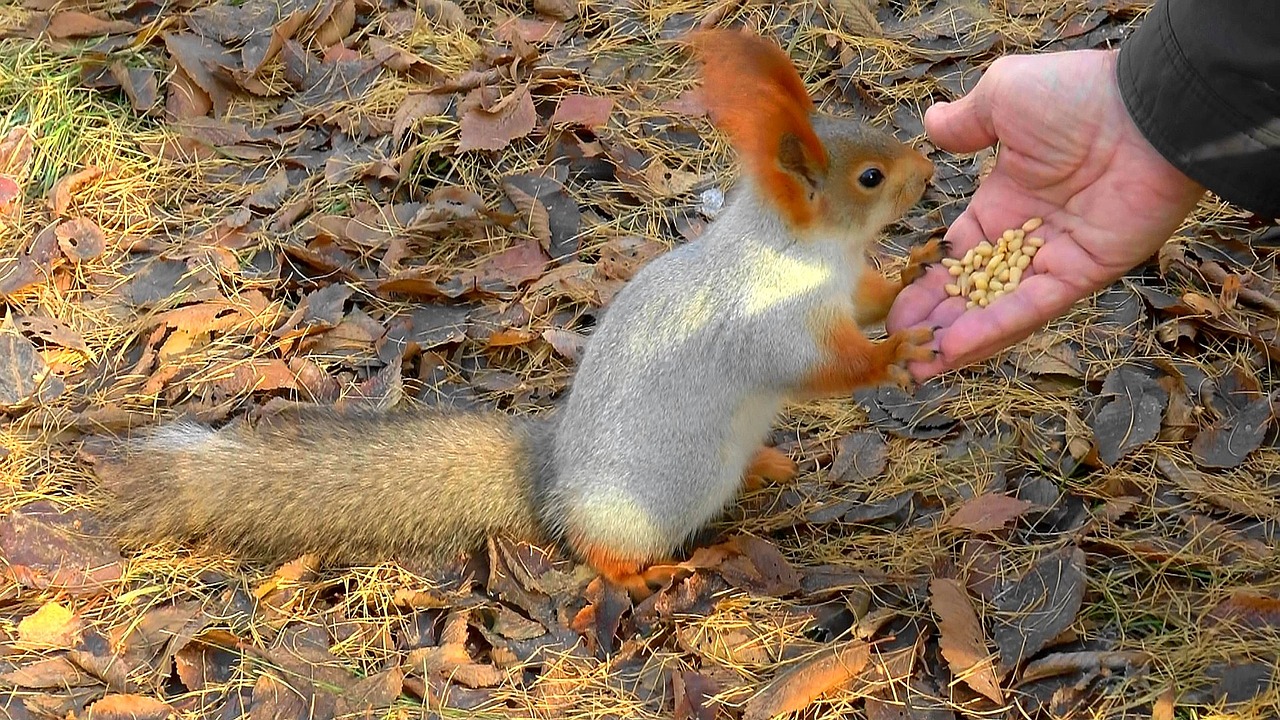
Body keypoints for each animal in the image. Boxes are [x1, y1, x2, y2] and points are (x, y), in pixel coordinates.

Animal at [92, 29, 942, 594]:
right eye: (870, 177)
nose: (929, 170)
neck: (811, 252)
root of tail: (550, 483)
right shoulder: (767, 320)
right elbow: (821, 366)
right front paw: (893, 355)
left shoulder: (844, 286)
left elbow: (873, 299)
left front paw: (919, 270)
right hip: (632, 515)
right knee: (601, 551)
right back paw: (637, 575)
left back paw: (762, 465)